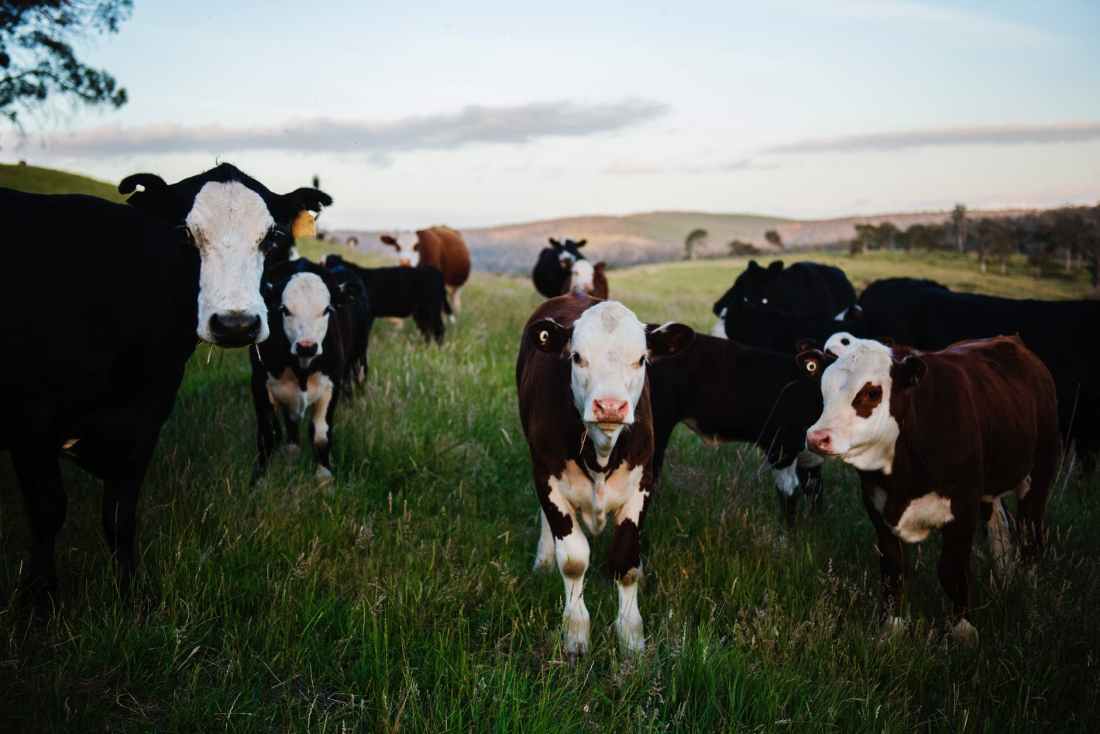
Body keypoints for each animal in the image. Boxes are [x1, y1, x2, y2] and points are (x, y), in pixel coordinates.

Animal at [0, 163, 331, 609]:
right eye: (183, 234)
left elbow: (120, 516)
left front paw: (130, 597)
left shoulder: (145, 421)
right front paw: (42, 602)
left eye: (273, 237)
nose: (236, 324)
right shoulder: (32, 424)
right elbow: (48, 511)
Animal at [251, 260, 364, 482]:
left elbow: (321, 435)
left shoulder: (332, 385)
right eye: (284, 309)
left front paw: (324, 476)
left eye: (326, 309)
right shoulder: (259, 384)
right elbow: (268, 434)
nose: (307, 346)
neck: (301, 369)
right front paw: (259, 480)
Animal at [517, 295, 693, 657]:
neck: (600, 452)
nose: (610, 406)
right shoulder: (546, 476)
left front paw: (631, 639)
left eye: (641, 359)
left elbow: (625, 562)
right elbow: (573, 560)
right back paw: (543, 561)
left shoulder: (641, 485)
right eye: (577, 356)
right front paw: (575, 635)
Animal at [647, 334, 825, 526]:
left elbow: (814, 489)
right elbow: (789, 490)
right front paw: (789, 531)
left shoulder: (808, 456)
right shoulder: (781, 445)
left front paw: (813, 525)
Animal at [799, 335, 1060, 643]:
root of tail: (1010, 341)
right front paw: (892, 627)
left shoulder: (963, 506)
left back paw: (1028, 590)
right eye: (823, 389)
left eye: (872, 392)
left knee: (1031, 532)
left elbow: (951, 569)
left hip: (1039, 472)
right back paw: (1005, 580)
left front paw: (962, 630)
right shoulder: (876, 504)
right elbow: (893, 567)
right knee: (1000, 528)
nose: (817, 437)